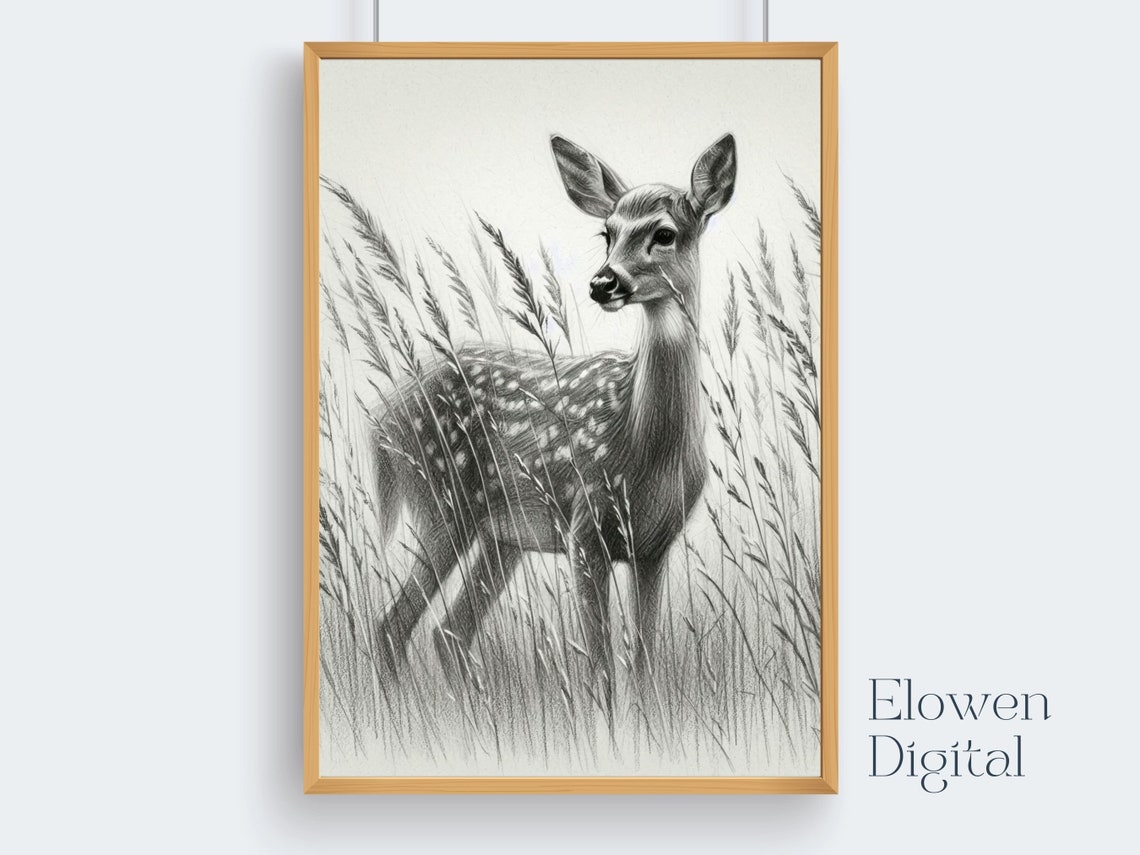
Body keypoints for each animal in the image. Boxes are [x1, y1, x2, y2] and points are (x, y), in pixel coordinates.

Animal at [372, 133, 736, 698]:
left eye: (664, 233)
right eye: (607, 232)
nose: (603, 283)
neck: (642, 441)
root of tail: (380, 419)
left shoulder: (655, 545)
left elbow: (643, 665)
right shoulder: (584, 528)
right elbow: (601, 669)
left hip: (500, 534)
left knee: (448, 632)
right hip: (440, 502)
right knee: (394, 626)